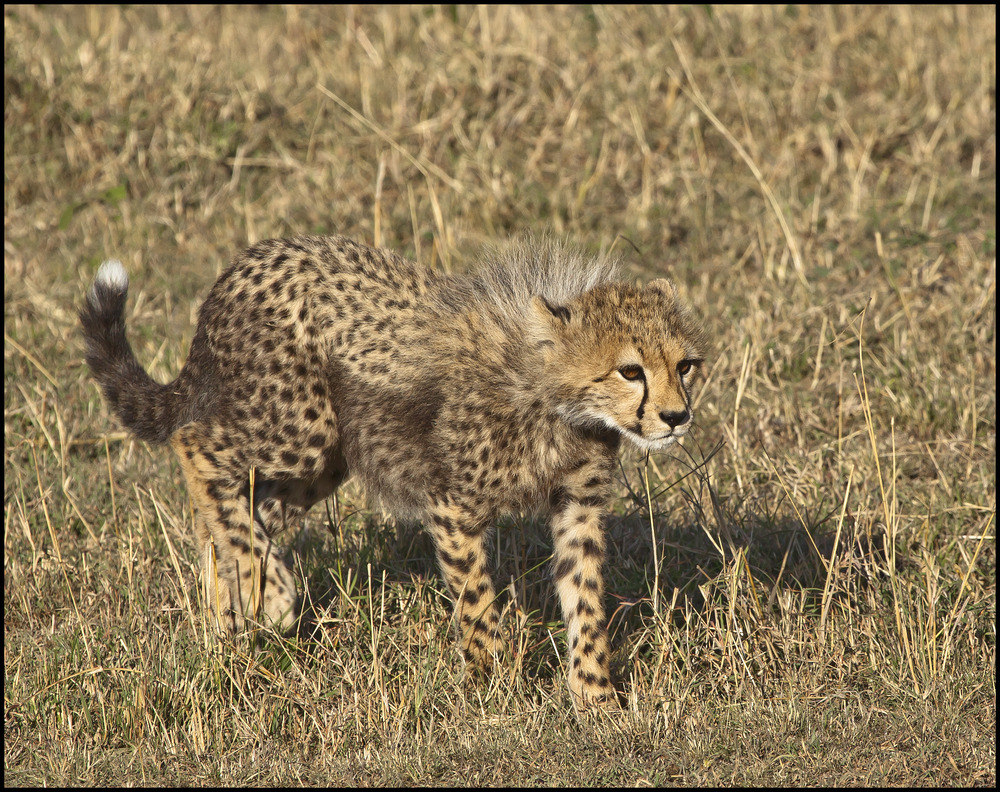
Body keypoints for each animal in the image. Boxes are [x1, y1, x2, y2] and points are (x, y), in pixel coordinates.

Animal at [82, 234, 708, 704]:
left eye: (685, 365)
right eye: (630, 371)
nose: (677, 417)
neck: (554, 397)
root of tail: (244, 264)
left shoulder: (577, 506)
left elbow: (585, 598)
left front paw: (597, 700)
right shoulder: (453, 503)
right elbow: (476, 600)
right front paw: (495, 688)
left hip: (325, 457)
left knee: (244, 509)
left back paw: (230, 616)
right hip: (298, 427)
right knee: (197, 446)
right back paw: (274, 594)